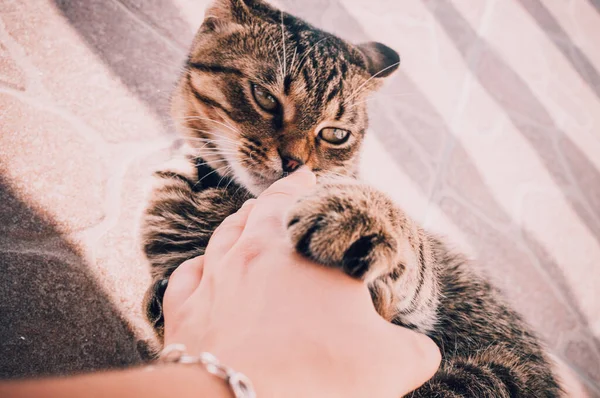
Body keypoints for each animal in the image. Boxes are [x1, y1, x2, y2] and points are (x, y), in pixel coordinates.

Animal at [141, 1, 564, 396]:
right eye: (265, 97)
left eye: (335, 134)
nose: (293, 162)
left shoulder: (420, 303)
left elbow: (413, 247)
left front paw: (358, 214)